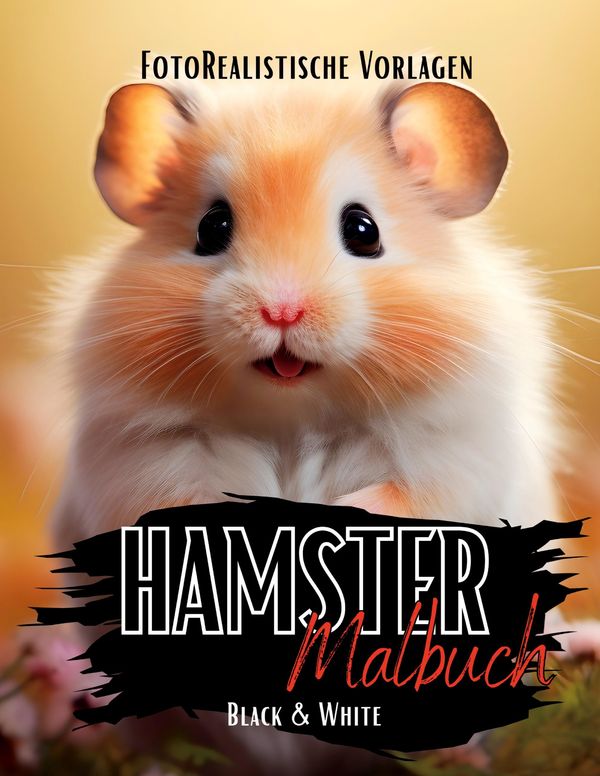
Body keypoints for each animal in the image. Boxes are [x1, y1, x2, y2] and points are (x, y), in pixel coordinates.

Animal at [50, 79, 562, 773]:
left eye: (363, 230)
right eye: (212, 228)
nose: (281, 310)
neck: (294, 421)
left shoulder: (452, 460)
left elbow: (399, 508)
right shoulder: (142, 463)